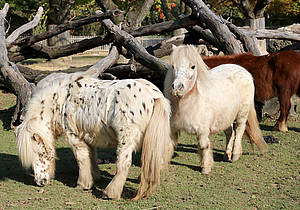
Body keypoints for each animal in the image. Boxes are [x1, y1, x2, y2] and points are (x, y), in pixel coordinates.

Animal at [16, 74, 175, 201]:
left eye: (40, 153)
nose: (40, 182)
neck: (60, 101)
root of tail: (154, 96)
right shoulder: (89, 137)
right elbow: (91, 157)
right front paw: (94, 177)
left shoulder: (75, 138)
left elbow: (82, 159)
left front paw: (83, 184)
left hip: (126, 139)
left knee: (124, 164)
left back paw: (110, 193)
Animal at [164, 44, 268, 174]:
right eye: (173, 66)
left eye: (193, 66)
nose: (177, 88)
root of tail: (243, 70)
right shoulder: (173, 128)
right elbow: (169, 145)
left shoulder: (203, 131)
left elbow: (203, 145)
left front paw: (206, 168)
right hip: (225, 116)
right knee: (230, 132)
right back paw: (226, 155)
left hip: (242, 113)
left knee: (239, 129)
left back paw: (235, 154)